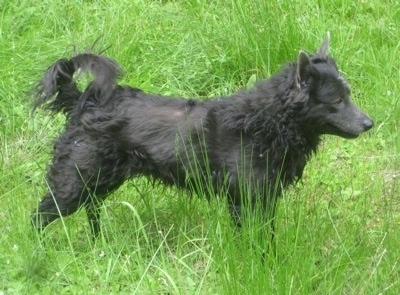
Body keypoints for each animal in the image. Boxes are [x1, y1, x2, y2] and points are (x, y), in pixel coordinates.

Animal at [32, 34, 376, 240]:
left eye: (348, 94)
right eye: (337, 101)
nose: (370, 123)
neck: (268, 121)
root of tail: (84, 101)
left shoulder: (264, 199)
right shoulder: (245, 201)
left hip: (97, 181)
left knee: (90, 211)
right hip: (73, 182)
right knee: (38, 218)